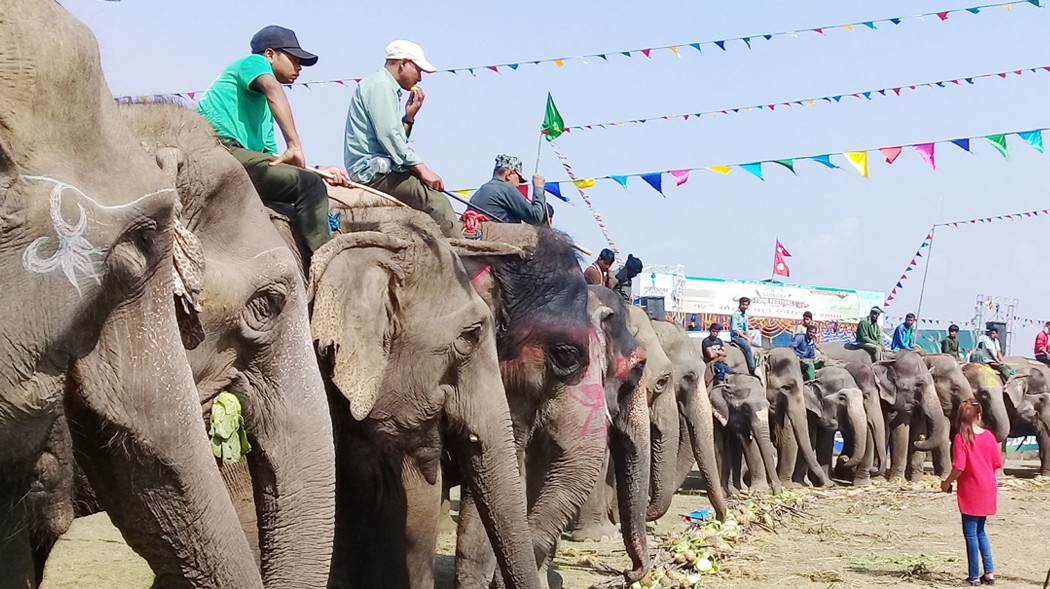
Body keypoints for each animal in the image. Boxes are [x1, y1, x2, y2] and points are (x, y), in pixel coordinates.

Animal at [865, 348, 949, 478]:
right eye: (919, 384)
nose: (920, 439)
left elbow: (918, 427)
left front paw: (915, 479)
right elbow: (898, 430)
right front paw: (895, 479)